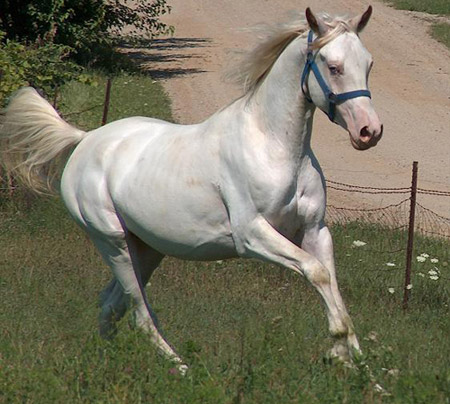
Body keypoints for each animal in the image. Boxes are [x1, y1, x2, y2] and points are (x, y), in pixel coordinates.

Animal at [0, 7, 384, 372]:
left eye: (368, 63)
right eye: (333, 67)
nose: (369, 131)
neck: (272, 147)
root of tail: (85, 139)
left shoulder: (315, 230)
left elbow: (330, 283)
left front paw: (357, 364)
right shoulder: (252, 236)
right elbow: (316, 273)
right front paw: (340, 350)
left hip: (147, 249)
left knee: (111, 304)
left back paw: (108, 361)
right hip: (112, 243)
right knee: (139, 312)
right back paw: (181, 368)